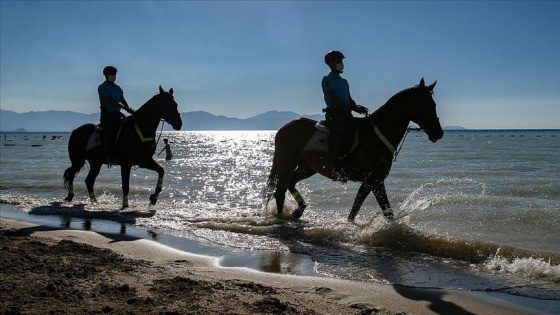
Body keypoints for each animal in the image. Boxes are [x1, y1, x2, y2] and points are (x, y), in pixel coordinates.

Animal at [264, 78, 444, 222]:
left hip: (308, 167)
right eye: (424, 105)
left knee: (291, 182)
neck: (377, 134)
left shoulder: (369, 182)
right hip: (287, 163)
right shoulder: (376, 181)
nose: (439, 133)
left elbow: (355, 209)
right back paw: (281, 218)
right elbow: (387, 212)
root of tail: (283, 129)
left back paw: (298, 210)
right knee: (280, 191)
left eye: (434, 104)